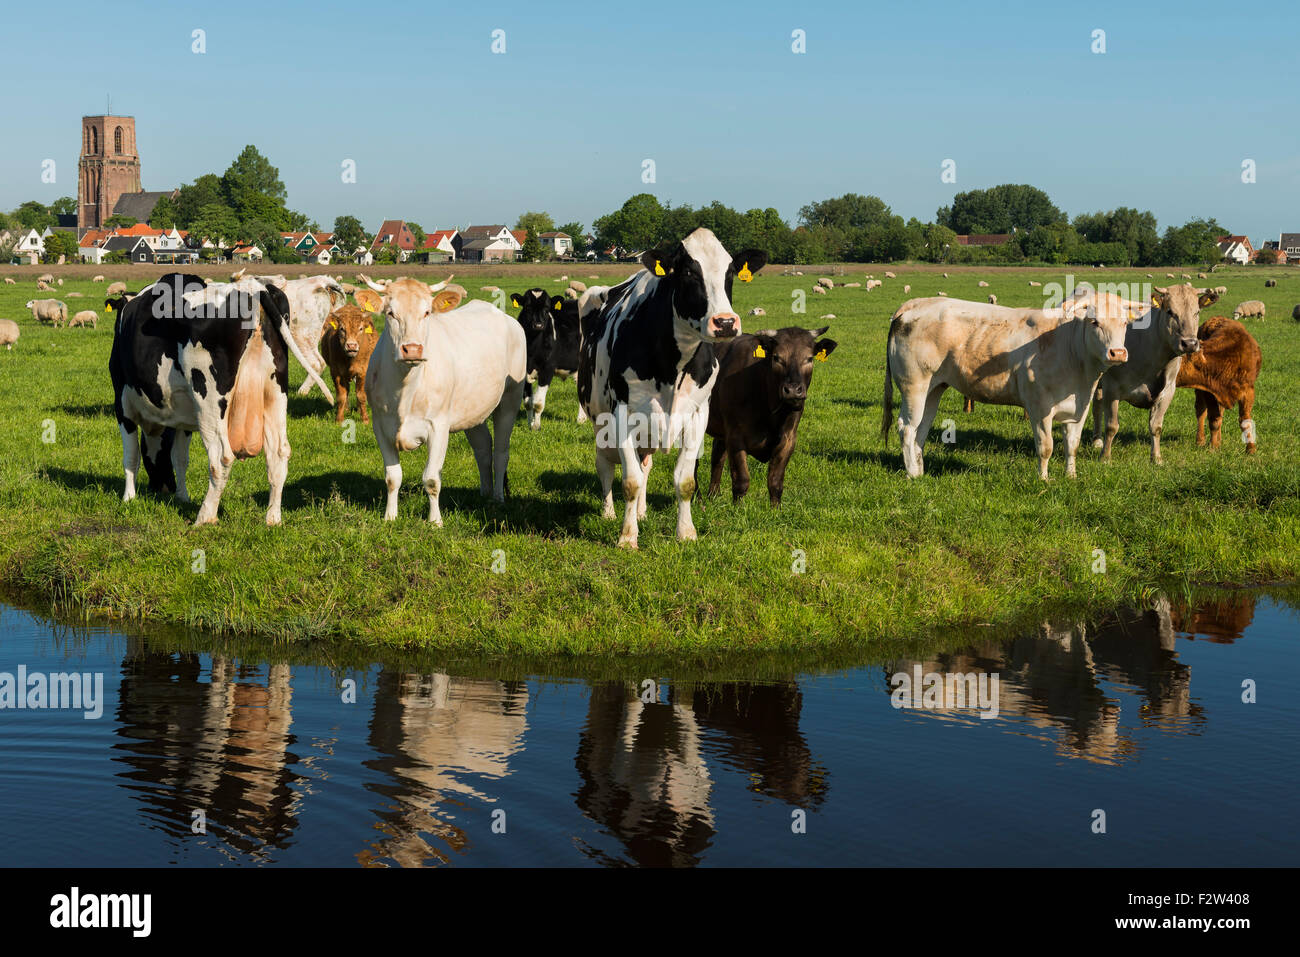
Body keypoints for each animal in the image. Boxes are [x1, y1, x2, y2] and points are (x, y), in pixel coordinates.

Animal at [109, 270, 332, 522]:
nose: (162, 487)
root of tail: (254, 288)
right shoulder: (183, 418)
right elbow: (180, 458)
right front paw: (182, 496)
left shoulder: (122, 407)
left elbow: (131, 456)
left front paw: (129, 498)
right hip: (275, 394)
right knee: (279, 454)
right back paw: (272, 518)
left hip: (210, 403)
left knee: (221, 458)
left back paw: (205, 516)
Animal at [512, 286, 585, 429]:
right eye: (527, 307)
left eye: (546, 308)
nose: (538, 325)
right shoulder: (523, 370)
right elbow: (528, 403)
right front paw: (530, 424)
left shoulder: (547, 369)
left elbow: (538, 403)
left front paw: (536, 426)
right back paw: (582, 419)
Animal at [577, 224, 759, 548]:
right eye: (688, 272)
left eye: (730, 272)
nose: (725, 323)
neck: (673, 366)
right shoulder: (622, 412)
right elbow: (630, 480)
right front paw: (627, 537)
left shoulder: (699, 412)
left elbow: (684, 481)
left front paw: (685, 533)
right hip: (601, 422)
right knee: (606, 465)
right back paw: (610, 513)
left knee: (645, 464)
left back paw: (642, 511)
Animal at [707, 325, 837, 504]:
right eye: (777, 358)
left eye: (809, 358)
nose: (793, 390)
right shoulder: (734, 436)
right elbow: (741, 480)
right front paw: (738, 509)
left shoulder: (789, 439)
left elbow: (775, 482)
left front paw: (775, 508)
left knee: (717, 457)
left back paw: (712, 495)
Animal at [1175, 312, 1263, 449]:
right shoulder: (1209, 392)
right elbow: (1214, 420)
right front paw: (1213, 447)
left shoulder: (1248, 391)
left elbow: (1245, 421)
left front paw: (1251, 450)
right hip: (1200, 392)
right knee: (1201, 411)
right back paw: (1200, 440)